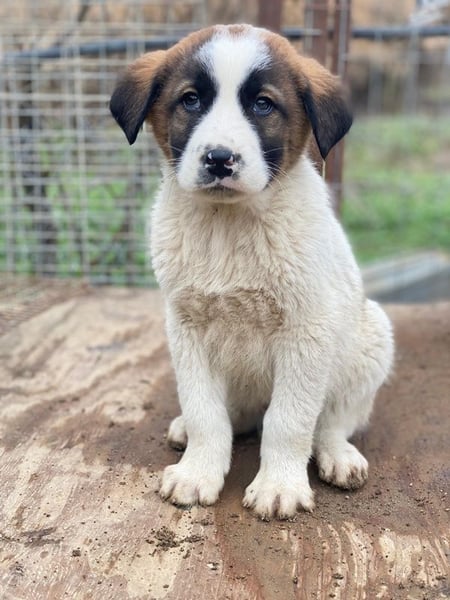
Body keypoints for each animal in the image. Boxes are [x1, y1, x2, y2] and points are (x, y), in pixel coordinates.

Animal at [110, 24, 394, 520]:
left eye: (263, 104)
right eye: (190, 100)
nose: (219, 158)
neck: (230, 226)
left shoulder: (307, 330)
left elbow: (290, 420)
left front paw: (279, 485)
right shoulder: (186, 327)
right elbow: (206, 413)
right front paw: (198, 472)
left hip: (370, 339)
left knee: (332, 419)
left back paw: (338, 455)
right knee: (231, 415)